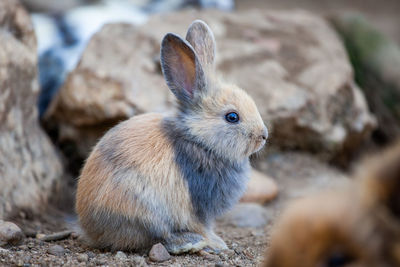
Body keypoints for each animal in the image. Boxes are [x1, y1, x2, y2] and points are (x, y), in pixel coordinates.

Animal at [75, 19, 268, 254]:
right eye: (232, 117)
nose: (263, 136)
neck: (199, 139)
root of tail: (91, 230)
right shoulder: (197, 207)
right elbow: (203, 227)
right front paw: (217, 244)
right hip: (145, 212)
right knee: (156, 237)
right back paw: (189, 242)